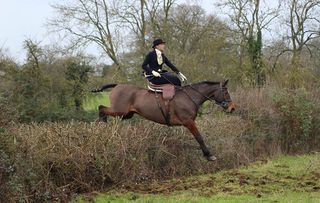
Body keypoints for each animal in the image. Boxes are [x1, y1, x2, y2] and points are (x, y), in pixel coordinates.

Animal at [91, 80, 236, 161]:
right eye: (226, 92)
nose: (232, 108)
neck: (190, 97)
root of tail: (117, 85)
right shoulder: (188, 122)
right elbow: (199, 137)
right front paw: (208, 155)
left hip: (126, 114)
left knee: (103, 109)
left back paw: (102, 125)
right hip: (120, 111)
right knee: (101, 108)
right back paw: (102, 124)